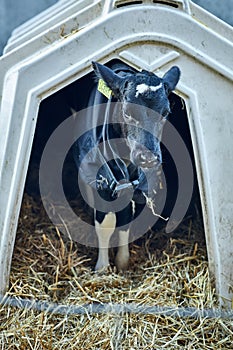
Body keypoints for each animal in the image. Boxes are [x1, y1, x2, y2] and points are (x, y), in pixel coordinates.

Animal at [73, 61, 180, 270]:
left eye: (165, 113)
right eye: (127, 112)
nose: (148, 157)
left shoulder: (133, 183)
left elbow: (126, 218)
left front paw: (122, 262)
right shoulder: (103, 181)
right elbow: (104, 224)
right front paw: (102, 267)